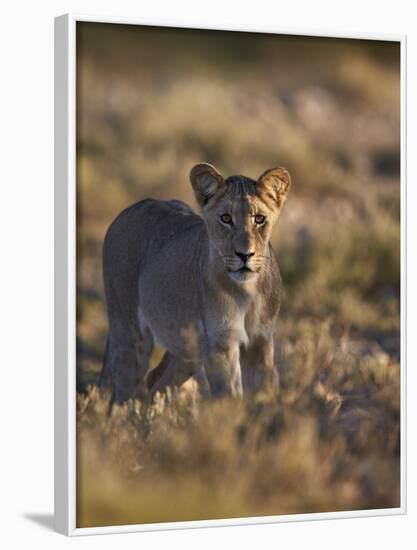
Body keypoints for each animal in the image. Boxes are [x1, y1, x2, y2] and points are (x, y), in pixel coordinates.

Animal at [99, 164, 290, 406]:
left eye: (259, 219)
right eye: (225, 218)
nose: (244, 255)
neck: (247, 291)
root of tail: (127, 211)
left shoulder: (260, 342)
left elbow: (265, 391)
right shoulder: (220, 346)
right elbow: (229, 396)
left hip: (187, 352)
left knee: (156, 382)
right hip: (130, 336)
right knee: (122, 397)